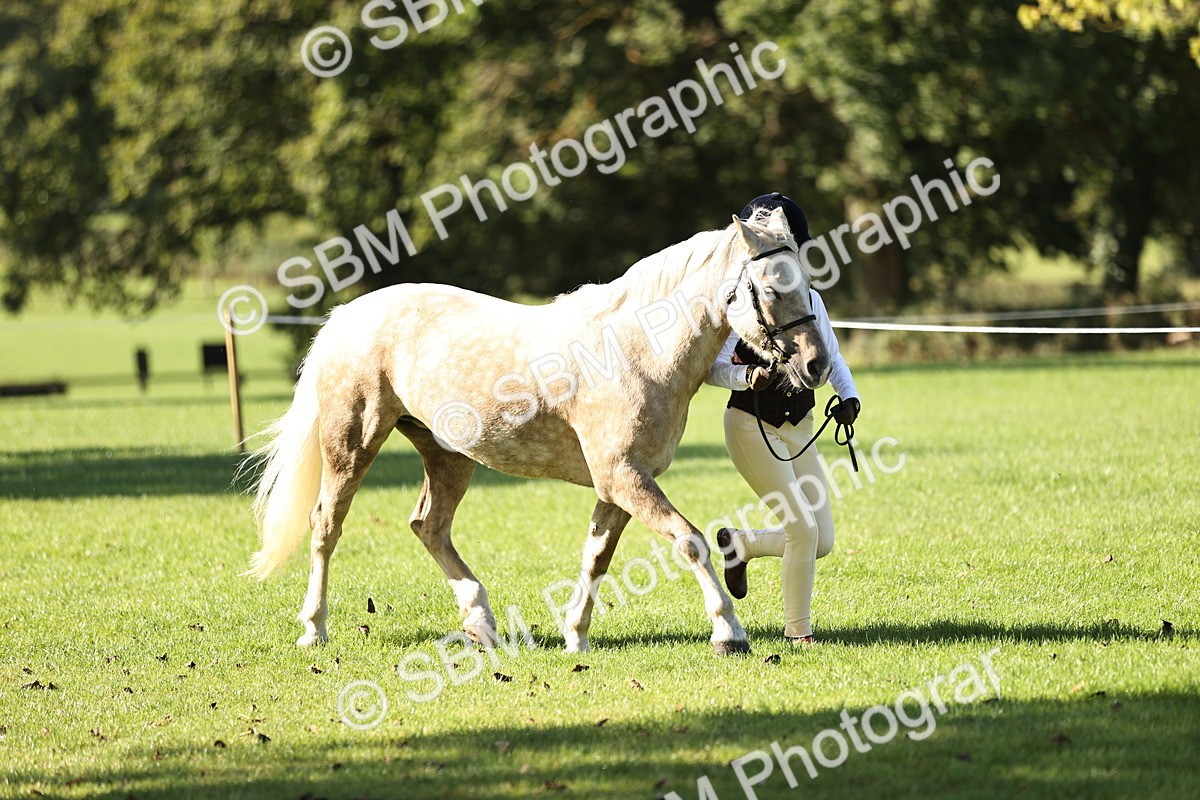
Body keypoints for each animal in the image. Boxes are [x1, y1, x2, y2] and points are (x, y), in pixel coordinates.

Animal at [245, 207, 832, 655]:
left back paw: (482, 623)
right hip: (353, 443)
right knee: (327, 526)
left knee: (429, 527)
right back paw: (314, 630)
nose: (817, 365)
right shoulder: (624, 477)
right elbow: (690, 542)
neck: (636, 348)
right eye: (771, 289)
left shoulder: (619, 485)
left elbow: (596, 557)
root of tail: (346, 316)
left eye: (807, 284)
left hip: (448, 455)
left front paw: (576, 635)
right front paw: (728, 632)